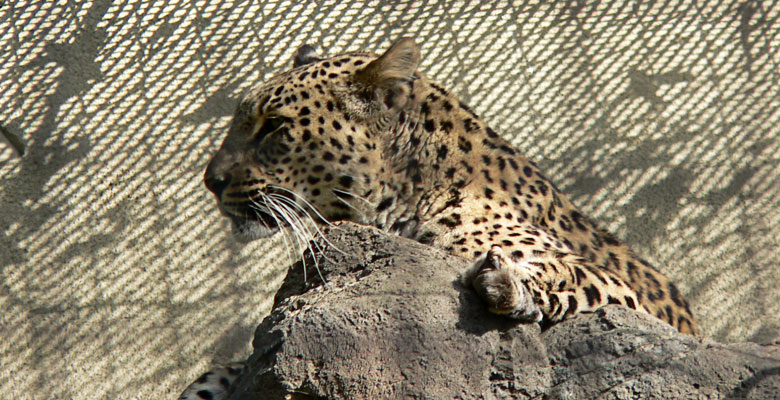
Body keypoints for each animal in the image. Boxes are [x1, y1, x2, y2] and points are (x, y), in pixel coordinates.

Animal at [180, 37, 697, 399]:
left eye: (275, 126)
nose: (211, 180)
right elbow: (235, 368)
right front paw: (208, 385)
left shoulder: (627, 295)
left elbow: (565, 273)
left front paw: (512, 282)